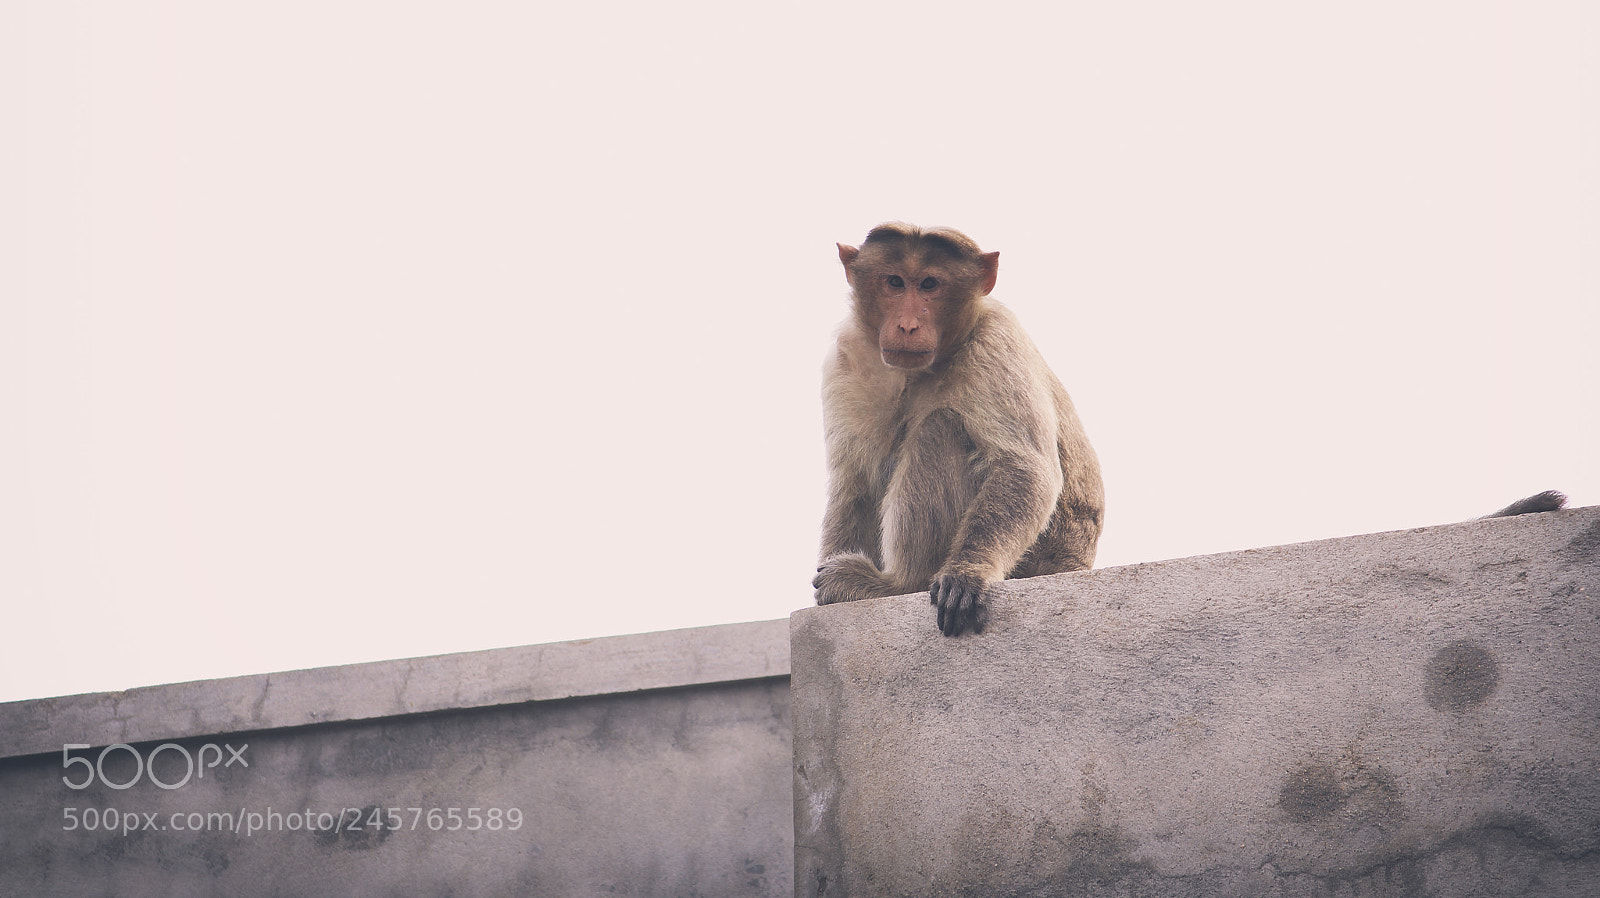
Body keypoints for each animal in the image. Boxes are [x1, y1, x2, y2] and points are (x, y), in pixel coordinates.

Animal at [812, 223, 1104, 636]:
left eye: (930, 284)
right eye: (895, 282)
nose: (907, 325)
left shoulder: (995, 340)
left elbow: (1023, 467)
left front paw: (968, 572)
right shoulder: (848, 355)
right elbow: (853, 479)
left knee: (940, 427)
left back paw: (897, 584)